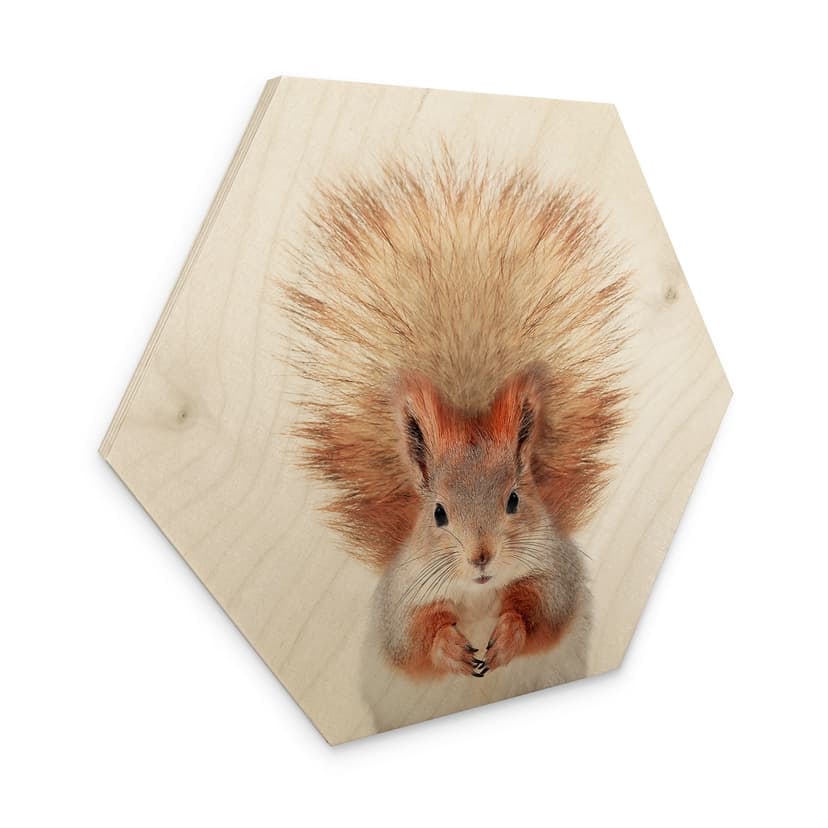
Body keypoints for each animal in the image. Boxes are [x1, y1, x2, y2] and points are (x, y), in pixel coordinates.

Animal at [281, 152, 629, 720]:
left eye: (514, 500)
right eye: (439, 514)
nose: (480, 556)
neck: (478, 594)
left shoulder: (556, 575)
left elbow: (541, 613)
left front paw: (507, 635)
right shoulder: (400, 604)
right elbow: (414, 640)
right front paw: (449, 647)